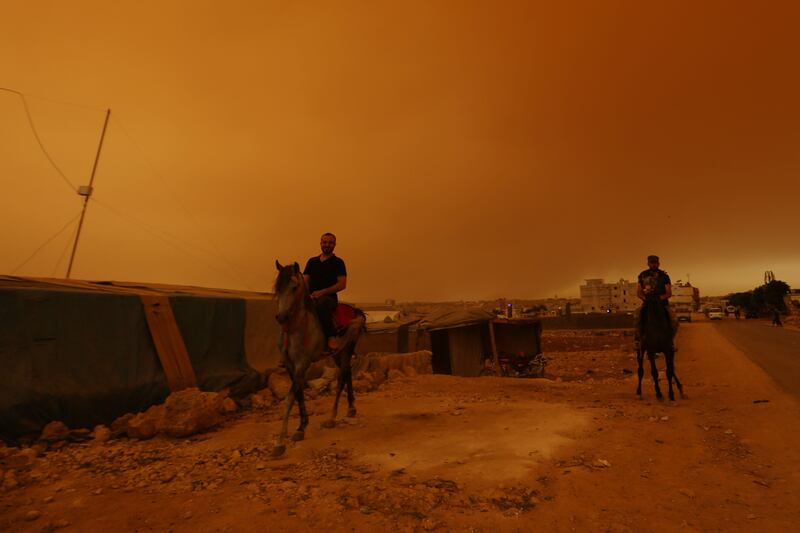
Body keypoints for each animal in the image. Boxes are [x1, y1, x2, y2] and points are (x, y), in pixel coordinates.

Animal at [272, 260, 366, 456]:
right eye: (277, 287)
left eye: (294, 287)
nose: (281, 317)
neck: (296, 329)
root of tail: (356, 311)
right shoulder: (290, 365)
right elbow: (298, 393)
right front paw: (301, 427)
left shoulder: (302, 364)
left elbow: (290, 398)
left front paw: (280, 442)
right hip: (338, 353)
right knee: (348, 374)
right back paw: (351, 408)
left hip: (347, 349)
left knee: (341, 379)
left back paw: (332, 418)